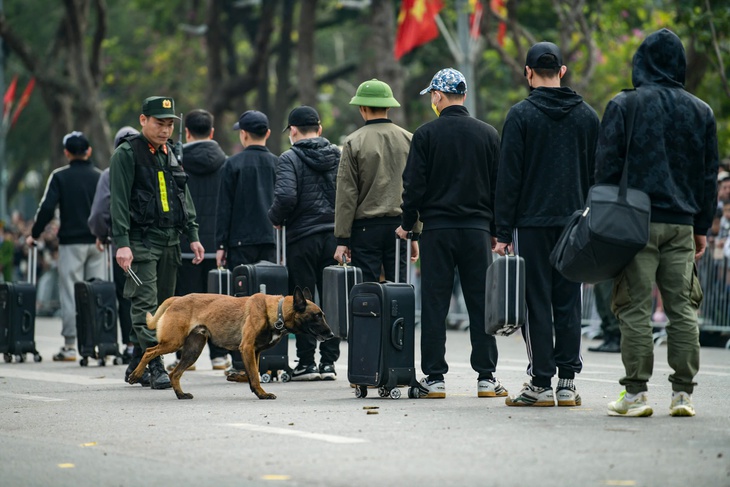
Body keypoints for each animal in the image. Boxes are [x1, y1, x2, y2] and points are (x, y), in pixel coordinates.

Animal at [127, 290, 332, 400]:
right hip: (173, 342)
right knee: (149, 351)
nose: (331, 334)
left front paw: (241, 380)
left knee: (174, 374)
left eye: (323, 315)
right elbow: (255, 375)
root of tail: (177, 298)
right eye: (317, 315)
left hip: (193, 350)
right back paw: (135, 374)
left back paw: (181, 394)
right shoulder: (247, 348)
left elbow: (253, 372)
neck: (277, 311)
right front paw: (262, 393)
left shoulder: (254, 352)